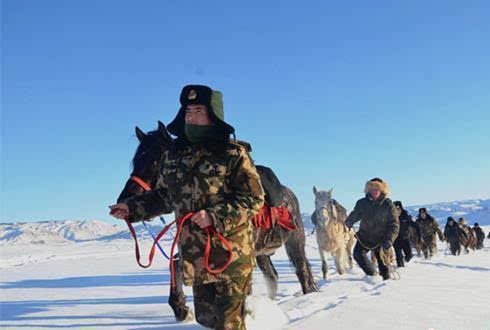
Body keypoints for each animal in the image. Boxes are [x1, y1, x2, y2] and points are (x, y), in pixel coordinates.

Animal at [117, 121, 320, 322]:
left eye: (156, 161)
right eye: (135, 161)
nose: (124, 198)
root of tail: (290, 196)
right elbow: (175, 263)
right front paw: (180, 308)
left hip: (294, 243)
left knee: (302, 272)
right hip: (262, 253)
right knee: (272, 276)